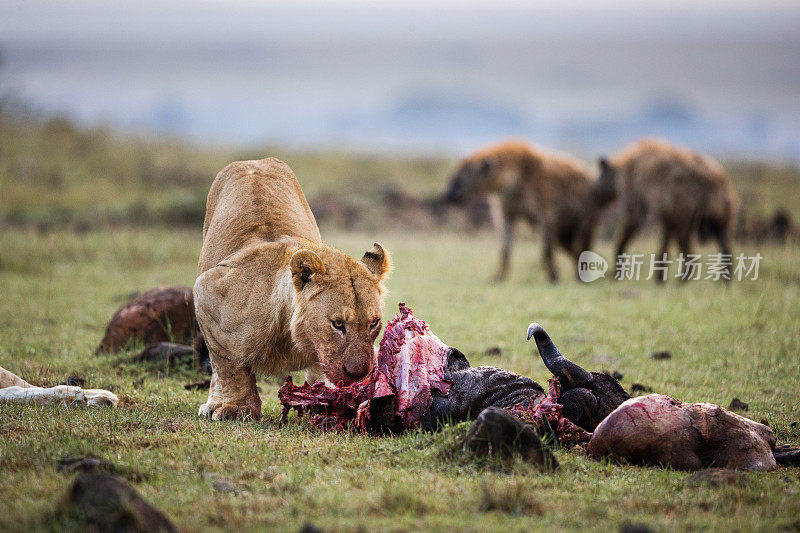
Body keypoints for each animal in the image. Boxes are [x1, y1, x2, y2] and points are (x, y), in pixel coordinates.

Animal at [195, 158, 392, 420]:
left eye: (374, 323)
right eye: (338, 324)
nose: (359, 373)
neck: (289, 333)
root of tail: (254, 161)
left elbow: (322, 367)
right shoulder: (207, 292)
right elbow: (229, 366)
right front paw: (236, 408)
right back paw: (213, 403)